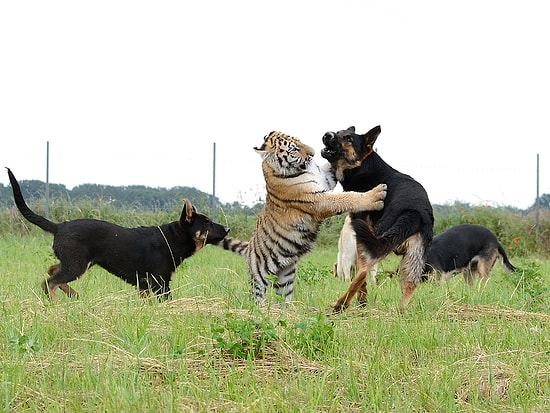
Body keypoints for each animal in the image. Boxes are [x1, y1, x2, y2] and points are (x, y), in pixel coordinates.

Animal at [4, 167, 229, 300]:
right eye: (207, 222)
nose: (228, 229)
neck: (172, 237)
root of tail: (59, 226)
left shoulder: (145, 286)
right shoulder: (160, 283)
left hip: (74, 263)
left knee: (50, 273)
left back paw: (73, 295)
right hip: (76, 265)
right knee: (51, 281)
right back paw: (55, 302)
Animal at [324, 125, 436, 312]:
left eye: (349, 139)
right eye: (338, 133)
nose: (327, 134)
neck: (363, 166)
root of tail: (416, 211)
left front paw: (361, 302)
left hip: (373, 240)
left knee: (362, 271)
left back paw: (341, 305)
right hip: (411, 260)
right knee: (409, 287)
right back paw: (399, 313)